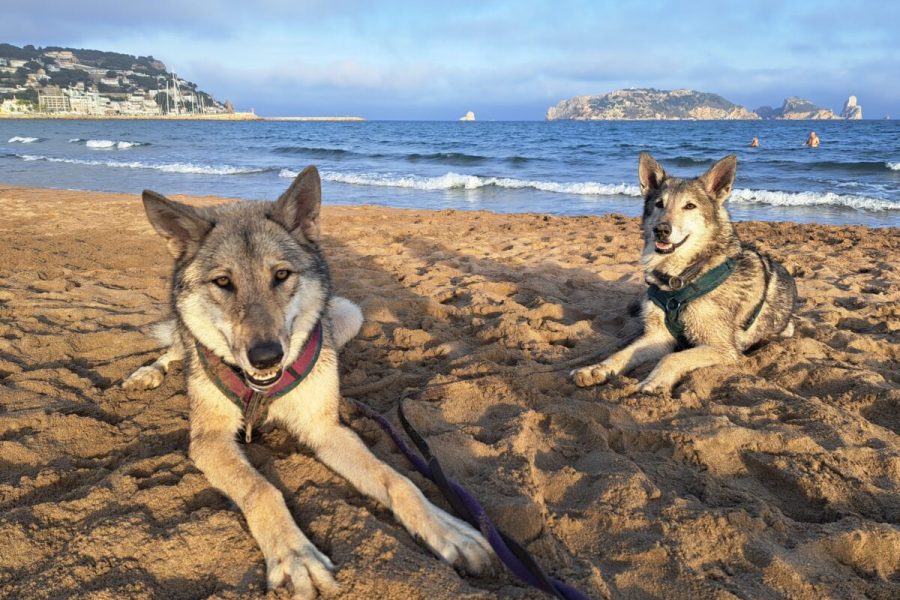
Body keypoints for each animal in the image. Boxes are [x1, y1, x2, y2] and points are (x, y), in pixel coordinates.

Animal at [122, 168, 488, 600]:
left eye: (281, 275)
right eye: (224, 282)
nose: (266, 356)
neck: (261, 391)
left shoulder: (324, 429)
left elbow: (397, 481)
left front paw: (446, 529)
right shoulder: (209, 440)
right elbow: (262, 490)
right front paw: (295, 556)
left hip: (348, 314)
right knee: (177, 346)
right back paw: (149, 372)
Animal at [572, 152, 800, 392]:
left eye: (689, 206)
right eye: (659, 204)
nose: (661, 230)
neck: (680, 277)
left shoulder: (723, 349)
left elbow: (673, 357)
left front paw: (655, 380)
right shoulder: (658, 336)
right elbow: (622, 353)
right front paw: (595, 368)